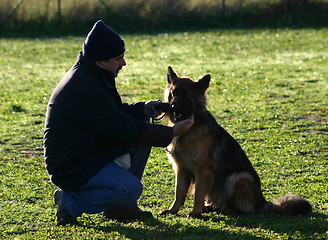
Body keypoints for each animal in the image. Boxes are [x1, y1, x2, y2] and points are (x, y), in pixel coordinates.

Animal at [160, 66, 312, 218]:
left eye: (187, 94)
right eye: (174, 93)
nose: (174, 107)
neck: (190, 130)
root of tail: (261, 202)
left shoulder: (202, 170)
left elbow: (198, 194)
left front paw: (195, 212)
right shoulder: (181, 169)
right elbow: (178, 193)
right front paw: (172, 210)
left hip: (238, 177)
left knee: (240, 208)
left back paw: (224, 210)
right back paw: (210, 207)